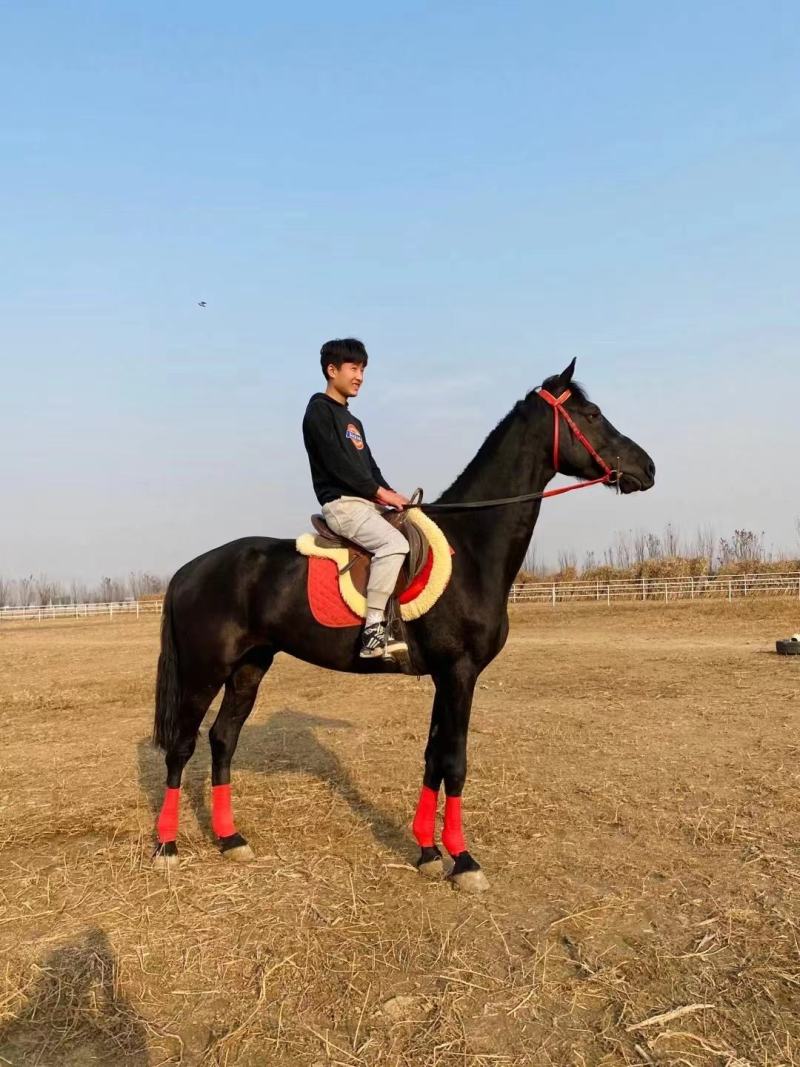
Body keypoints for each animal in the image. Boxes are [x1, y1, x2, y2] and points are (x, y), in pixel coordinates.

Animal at [151, 359, 655, 890]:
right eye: (593, 413)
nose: (647, 468)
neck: (471, 546)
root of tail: (188, 570)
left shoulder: (445, 676)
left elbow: (433, 758)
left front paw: (428, 851)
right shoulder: (459, 673)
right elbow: (455, 762)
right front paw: (464, 861)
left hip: (249, 667)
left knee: (223, 739)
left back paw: (231, 839)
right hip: (204, 672)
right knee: (181, 746)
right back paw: (166, 846)